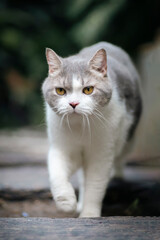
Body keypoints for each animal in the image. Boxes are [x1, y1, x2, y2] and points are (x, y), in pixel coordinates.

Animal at [42, 41, 142, 218]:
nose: (73, 103)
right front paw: (67, 203)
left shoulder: (101, 155)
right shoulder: (62, 149)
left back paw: (117, 174)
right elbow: (57, 174)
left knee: (119, 160)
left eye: (88, 89)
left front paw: (89, 215)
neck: (80, 127)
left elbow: (95, 186)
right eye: (60, 91)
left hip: (128, 141)